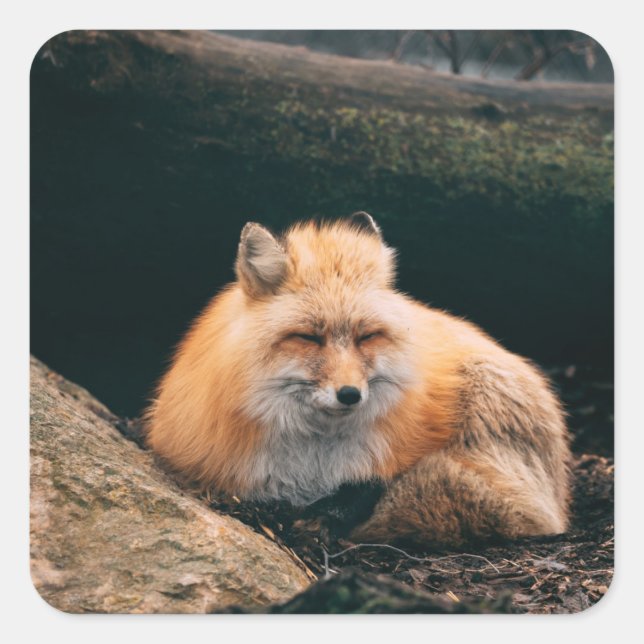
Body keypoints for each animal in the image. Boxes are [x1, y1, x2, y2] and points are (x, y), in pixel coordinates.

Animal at [145, 212, 571, 547]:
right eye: (308, 337)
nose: (350, 394)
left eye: (366, 336)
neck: (312, 462)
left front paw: (327, 517)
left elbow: (365, 490)